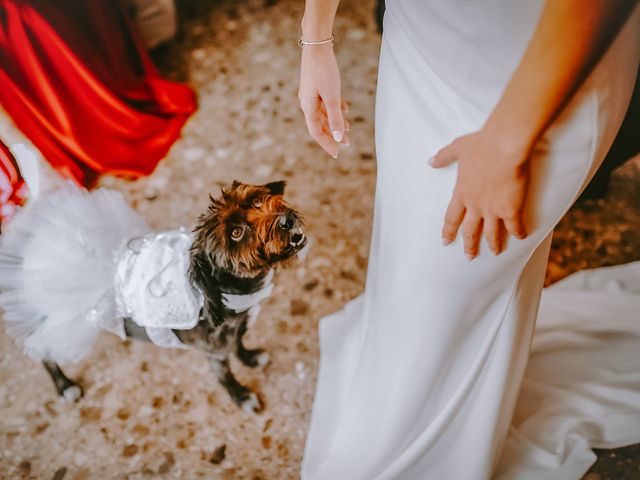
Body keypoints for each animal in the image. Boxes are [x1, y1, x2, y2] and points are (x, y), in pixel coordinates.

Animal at [3, 180, 306, 412]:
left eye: (257, 201)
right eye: (236, 232)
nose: (286, 220)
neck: (228, 293)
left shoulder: (237, 329)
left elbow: (240, 343)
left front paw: (250, 358)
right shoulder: (215, 354)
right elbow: (226, 377)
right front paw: (242, 397)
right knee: (45, 352)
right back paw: (64, 386)